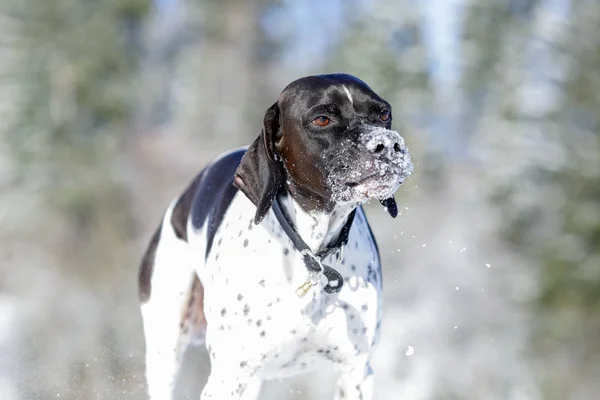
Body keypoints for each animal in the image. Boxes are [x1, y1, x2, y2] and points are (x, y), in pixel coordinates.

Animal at [139, 73, 414, 398]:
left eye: (383, 114)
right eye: (322, 119)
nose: (387, 144)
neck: (311, 254)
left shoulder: (355, 372)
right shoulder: (227, 376)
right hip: (166, 351)